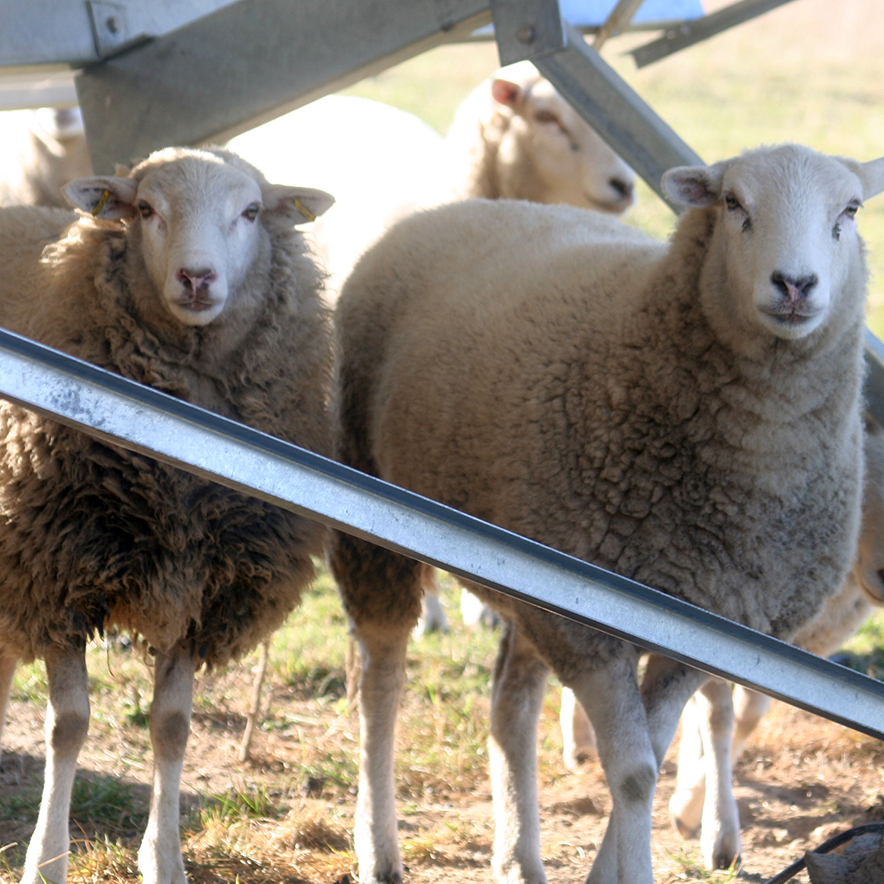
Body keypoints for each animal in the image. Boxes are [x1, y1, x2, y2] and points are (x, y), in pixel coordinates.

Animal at [0, 147, 334, 884]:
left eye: (251, 211)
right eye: (146, 209)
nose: (197, 277)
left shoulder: (198, 591)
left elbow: (172, 726)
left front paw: (165, 860)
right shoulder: (57, 567)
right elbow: (69, 724)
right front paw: (47, 860)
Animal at [332, 145, 884, 884]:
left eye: (849, 211)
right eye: (733, 203)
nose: (795, 284)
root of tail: (459, 207)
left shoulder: (700, 624)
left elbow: (653, 748)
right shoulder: (587, 626)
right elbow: (634, 772)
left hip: (528, 574)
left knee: (509, 704)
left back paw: (519, 856)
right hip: (371, 509)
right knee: (381, 681)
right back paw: (379, 846)